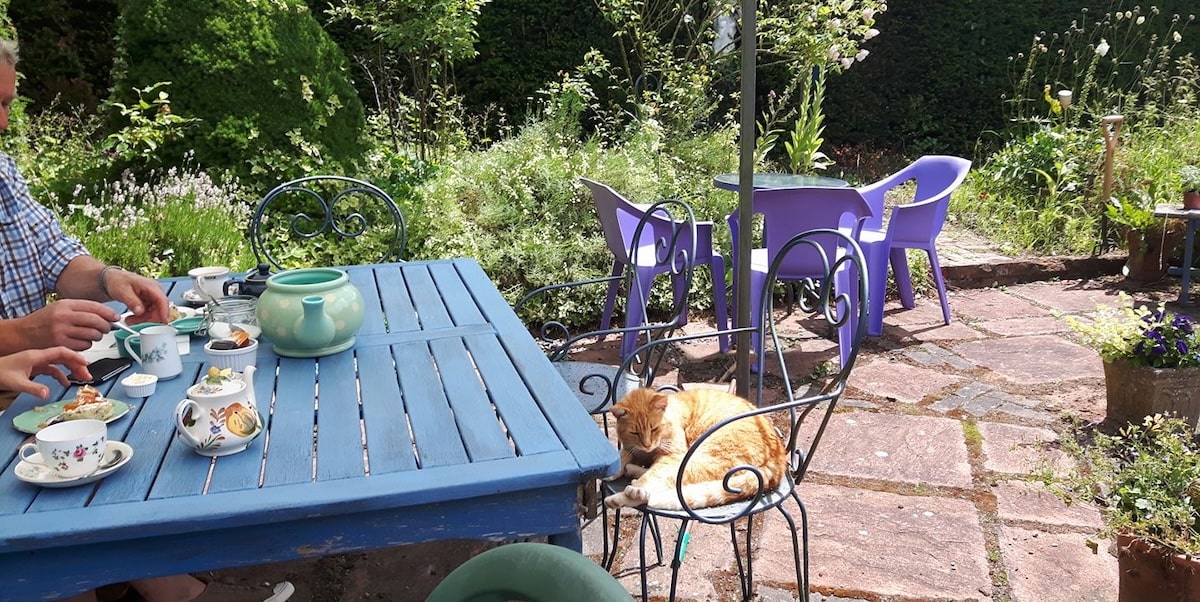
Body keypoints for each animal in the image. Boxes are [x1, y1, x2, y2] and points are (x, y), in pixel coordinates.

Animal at [600, 388, 787, 510]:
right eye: (635, 432)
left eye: (654, 429)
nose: (647, 445)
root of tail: (779, 454)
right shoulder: (632, 448)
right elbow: (624, 455)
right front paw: (615, 470)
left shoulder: (673, 455)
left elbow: (654, 474)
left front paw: (635, 486)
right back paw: (632, 473)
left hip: (698, 460)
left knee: (667, 482)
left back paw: (625, 496)